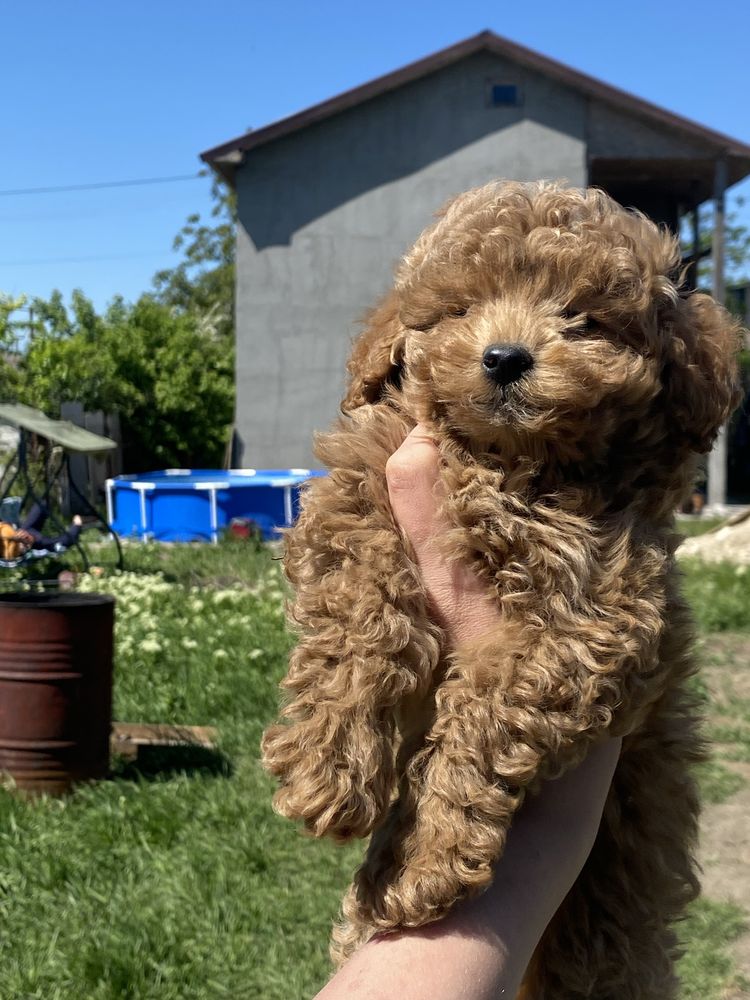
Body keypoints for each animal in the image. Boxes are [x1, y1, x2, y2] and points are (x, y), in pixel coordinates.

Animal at [262, 182, 744, 1000]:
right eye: (459, 309)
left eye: (583, 318)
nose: (505, 357)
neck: (511, 464)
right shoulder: (363, 481)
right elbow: (360, 609)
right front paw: (327, 762)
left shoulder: (604, 615)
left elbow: (488, 712)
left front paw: (424, 856)